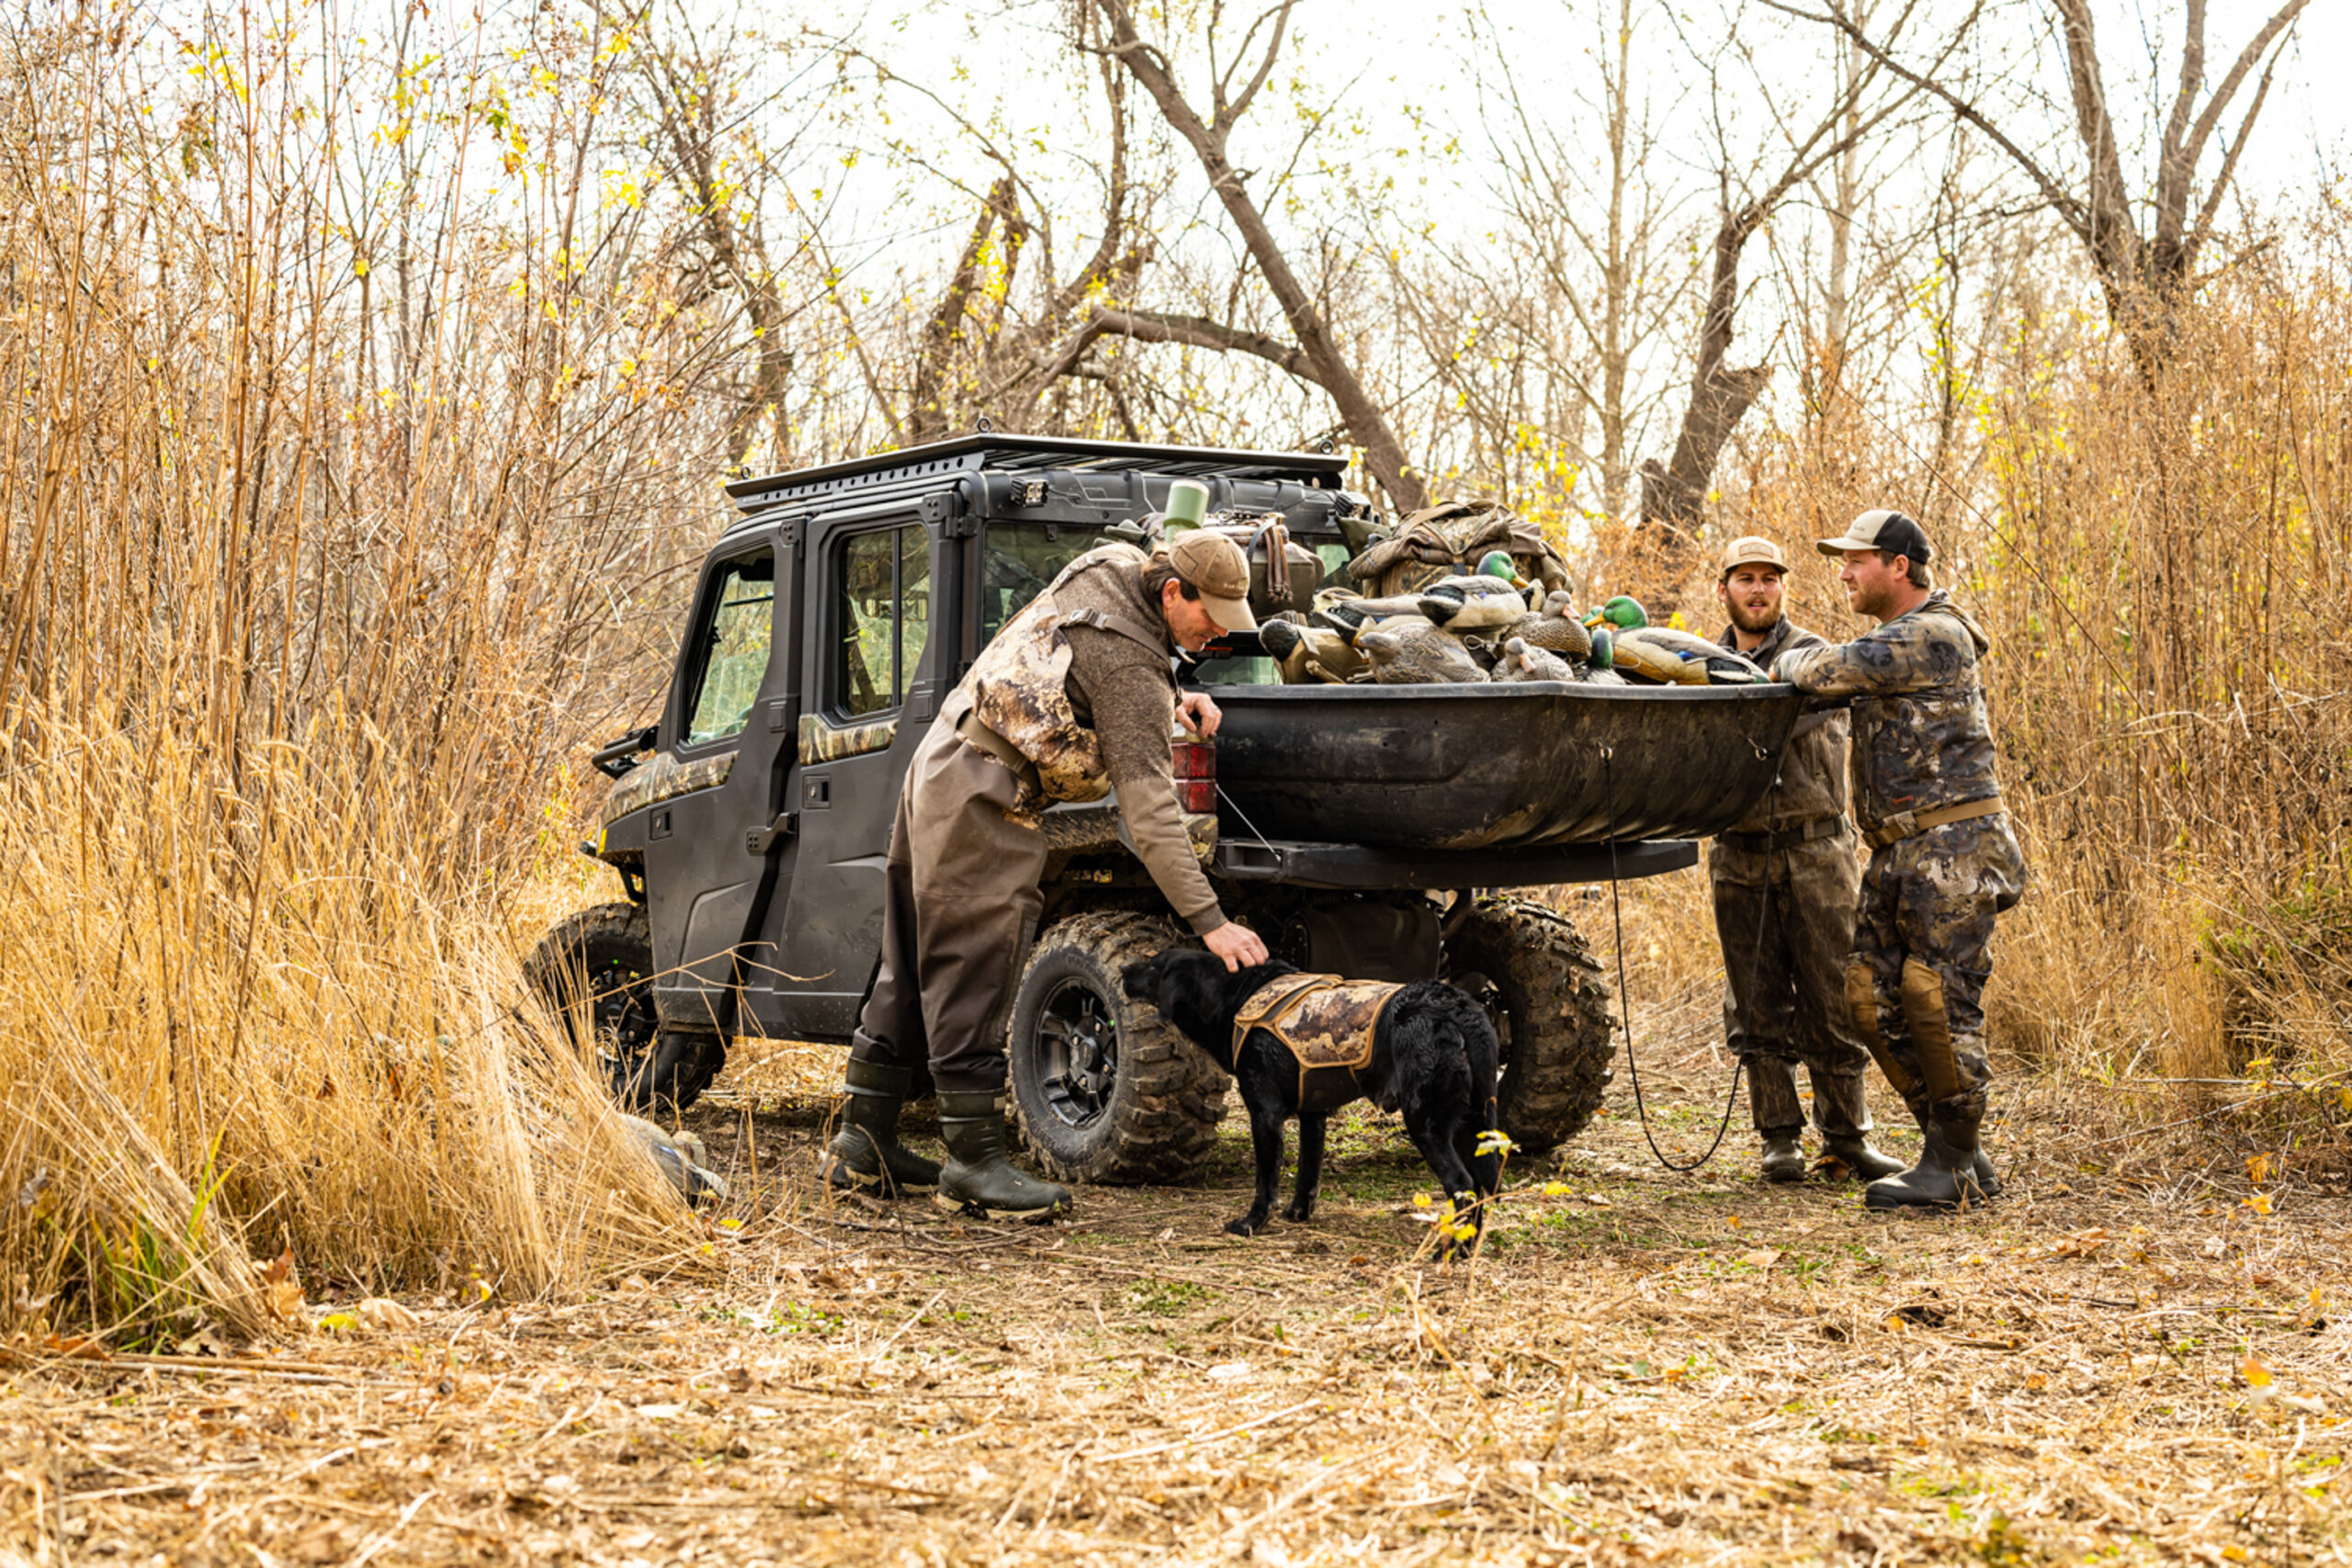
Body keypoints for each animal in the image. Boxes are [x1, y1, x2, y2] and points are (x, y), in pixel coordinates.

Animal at [1124, 949, 1496, 1241]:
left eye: (1153, 965)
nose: (1124, 969)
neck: (1236, 994)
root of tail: (1456, 1004)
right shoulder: (1313, 1114)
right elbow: (1307, 1172)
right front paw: (1298, 1213)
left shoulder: (1265, 1113)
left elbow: (1265, 1182)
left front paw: (1251, 1224)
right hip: (1474, 1125)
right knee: (1484, 1185)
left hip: (1425, 1120)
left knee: (1461, 1183)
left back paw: (1450, 1251)